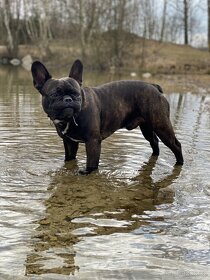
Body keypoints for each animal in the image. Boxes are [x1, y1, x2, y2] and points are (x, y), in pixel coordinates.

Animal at [30, 59, 182, 173]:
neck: (69, 119)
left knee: (175, 145)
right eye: (54, 94)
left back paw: (179, 164)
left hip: (161, 125)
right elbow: (69, 159)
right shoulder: (69, 142)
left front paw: (87, 172)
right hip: (147, 127)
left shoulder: (92, 141)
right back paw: (154, 157)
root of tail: (154, 86)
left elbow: (91, 164)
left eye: (76, 94)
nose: (68, 99)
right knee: (154, 142)